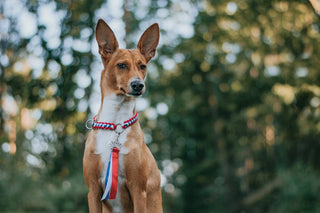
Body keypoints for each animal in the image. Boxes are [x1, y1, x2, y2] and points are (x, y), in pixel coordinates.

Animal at [82, 19, 162, 212]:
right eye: (121, 65)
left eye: (142, 66)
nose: (138, 85)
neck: (115, 125)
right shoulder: (93, 190)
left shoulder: (138, 189)